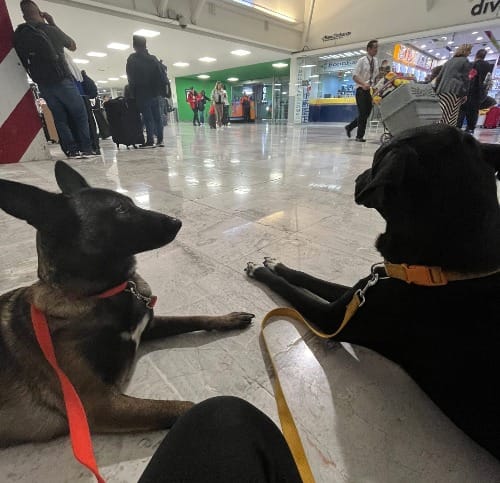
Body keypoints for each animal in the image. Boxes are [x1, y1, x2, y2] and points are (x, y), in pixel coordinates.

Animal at [0, 163, 252, 446]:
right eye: (120, 210)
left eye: (131, 203)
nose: (177, 221)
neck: (100, 294)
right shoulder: (99, 404)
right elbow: (187, 407)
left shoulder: (148, 327)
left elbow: (193, 318)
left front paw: (228, 318)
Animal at [247, 125, 500, 462]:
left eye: (379, 155)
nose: (356, 178)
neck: (444, 270)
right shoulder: (364, 289)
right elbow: (307, 277)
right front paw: (277, 264)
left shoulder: (333, 317)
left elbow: (292, 289)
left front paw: (262, 272)